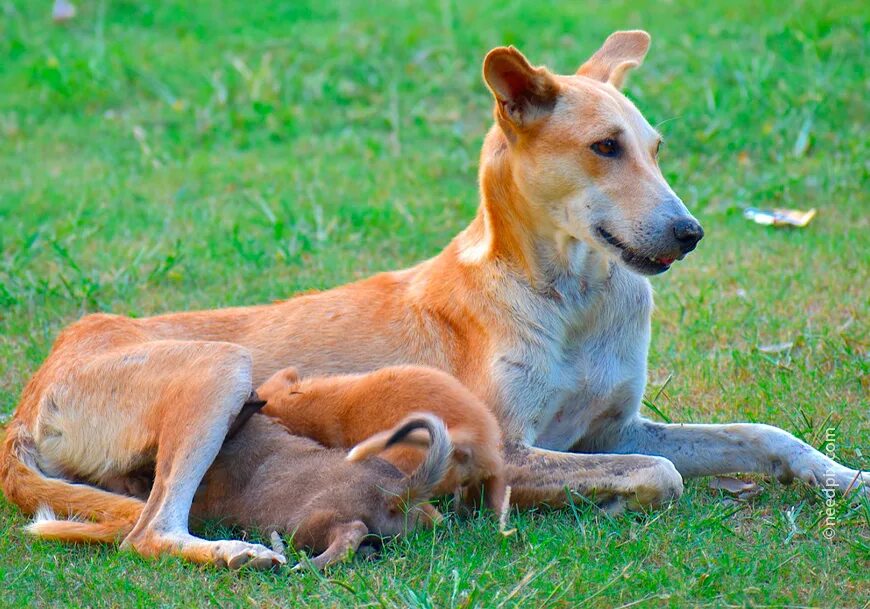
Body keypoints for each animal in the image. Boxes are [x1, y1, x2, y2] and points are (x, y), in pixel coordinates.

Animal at [3, 30, 868, 568]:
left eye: (655, 149)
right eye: (604, 147)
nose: (690, 232)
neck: (572, 299)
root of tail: (33, 388)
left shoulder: (614, 425)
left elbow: (762, 435)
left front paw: (843, 476)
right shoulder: (512, 445)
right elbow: (659, 473)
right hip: (221, 366)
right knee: (148, 530)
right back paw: (234, 551)